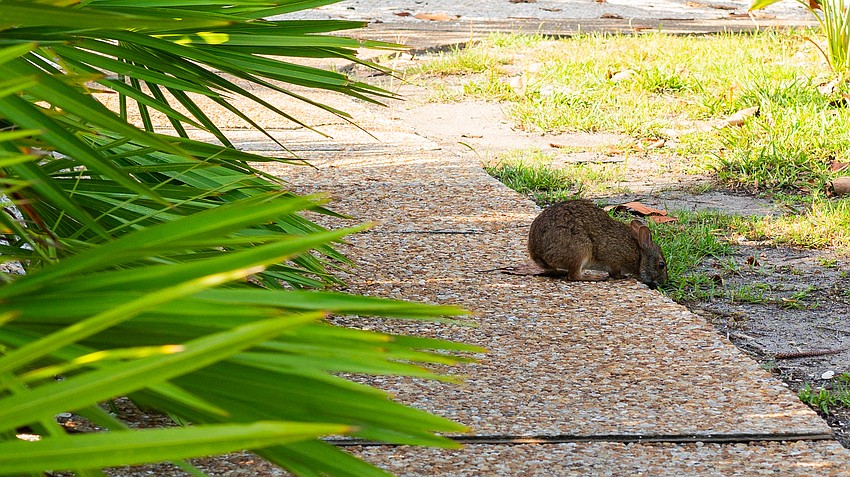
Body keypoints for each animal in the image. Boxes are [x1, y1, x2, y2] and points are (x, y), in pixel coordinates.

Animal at [527, 199, 668, 288]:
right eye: (661, 264)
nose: (664, 282)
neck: (639, 254)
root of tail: (538, 253)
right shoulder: (615, 259)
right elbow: (616, 272)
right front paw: (623, 277)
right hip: (581, 249)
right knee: (573, 276)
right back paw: (595, 277)